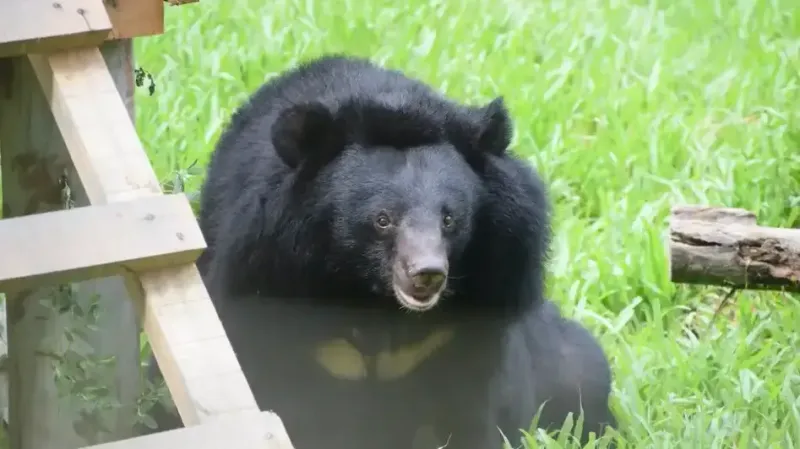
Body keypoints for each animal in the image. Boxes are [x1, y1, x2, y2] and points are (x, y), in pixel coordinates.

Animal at [143, 55, 618, 449]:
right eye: (382, 220)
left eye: (450, 219)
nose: (427, 274)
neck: (373, 299)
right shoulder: (267, 283)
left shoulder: (478, 310)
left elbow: (464, 412)